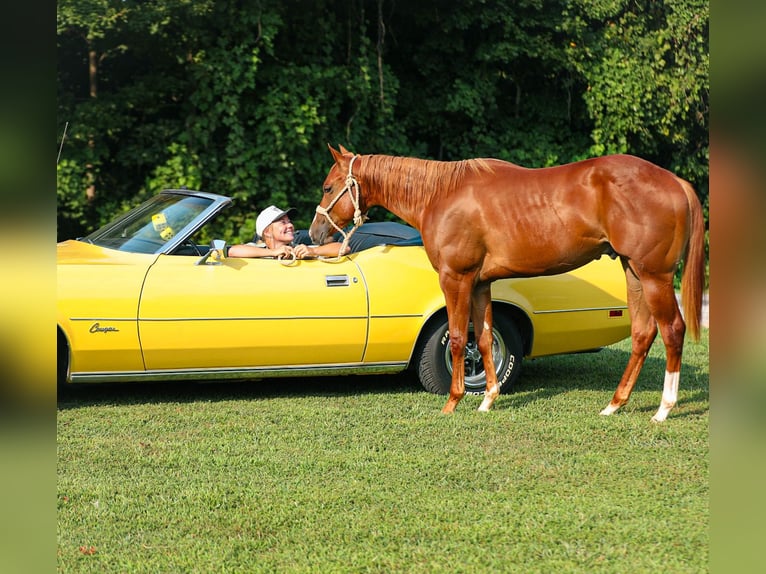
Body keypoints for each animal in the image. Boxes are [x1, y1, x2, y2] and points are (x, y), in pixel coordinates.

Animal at [310, 145, 705, 421]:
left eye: (328, 187)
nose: (315, 233)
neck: (441, 194)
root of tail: (675, 182)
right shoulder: (481, 283)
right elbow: (483, 338)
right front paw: (487, 399)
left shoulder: (455, 278)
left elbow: (458, 337)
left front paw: (452, 402)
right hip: (634, 272)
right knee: (643, 333)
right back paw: (615, 404)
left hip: (654, 276)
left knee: (673, 330)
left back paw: (664, 408)